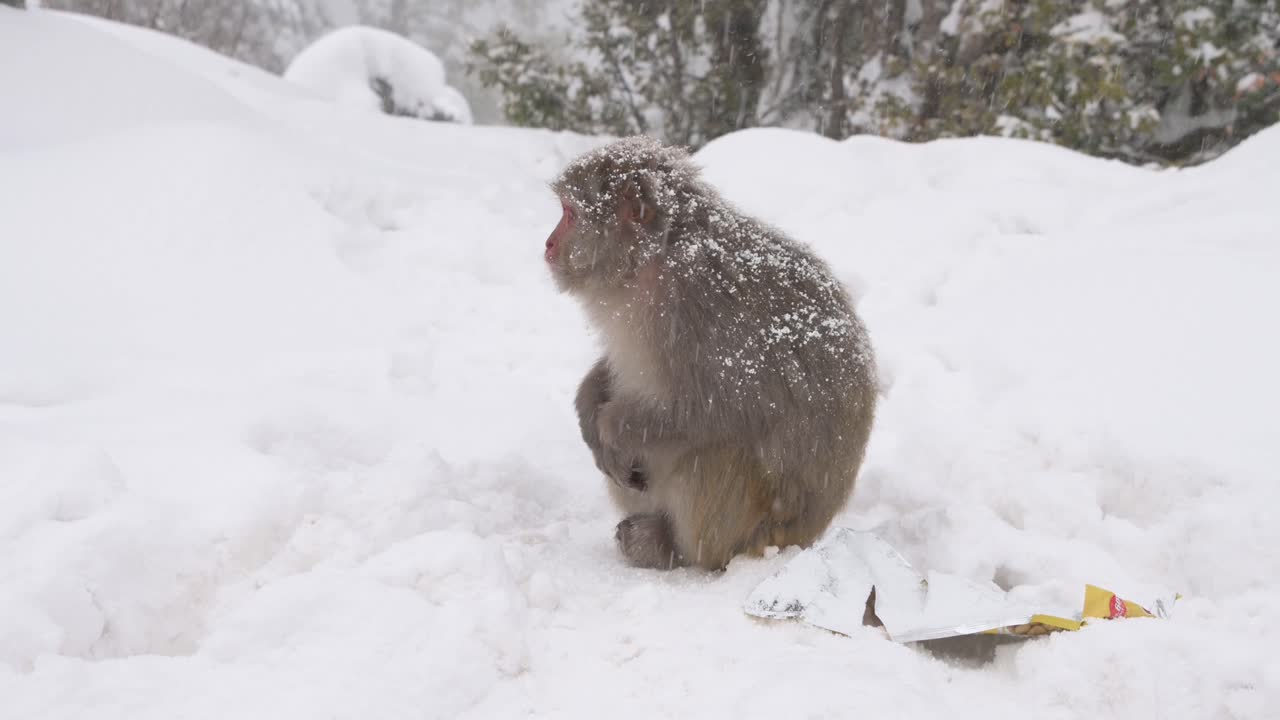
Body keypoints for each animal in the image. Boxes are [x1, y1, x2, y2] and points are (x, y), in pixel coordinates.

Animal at [544, 136, 877, 571]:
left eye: (569, 213)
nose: (548, 244)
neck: (654, 261)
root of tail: (808, 537)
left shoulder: (700, 305)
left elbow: (723, 406)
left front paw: (611, 427)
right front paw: (588, 409)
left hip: (758, 530)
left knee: (715, 453)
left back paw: (674, 550)